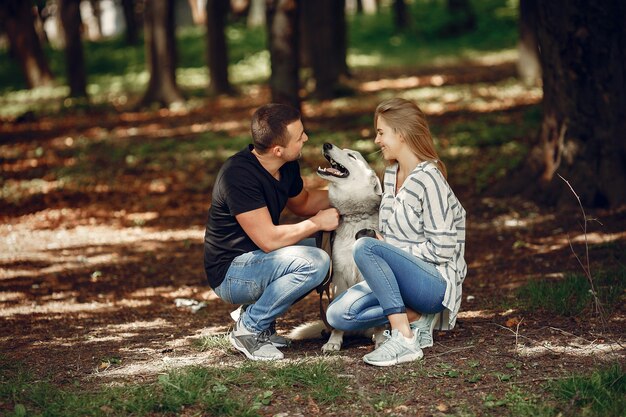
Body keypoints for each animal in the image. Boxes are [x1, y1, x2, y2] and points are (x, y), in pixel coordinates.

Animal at [288, 143, 386, 352]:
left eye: (352, 155)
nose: (327, 144)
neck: (356, 217)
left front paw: (382, 338)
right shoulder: (339, 277)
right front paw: (334, 341)